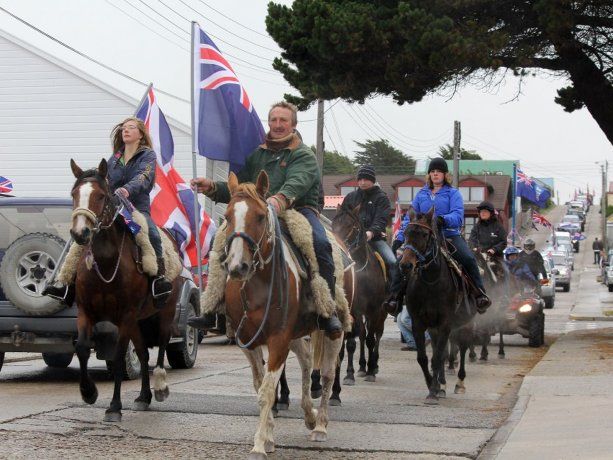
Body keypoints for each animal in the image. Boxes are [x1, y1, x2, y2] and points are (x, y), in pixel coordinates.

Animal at [69, 160, 180, 422]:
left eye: (100, 196)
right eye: (74, 194)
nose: (80, 233)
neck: (107, 262)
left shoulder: (125, 316)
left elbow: (119, 357)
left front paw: (114, 407)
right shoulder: (86, 311)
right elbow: (82, 348)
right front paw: (88, 392)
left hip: (165, 311)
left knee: (161, 344)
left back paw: (160, 388)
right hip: (138, 321)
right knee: (143, 352)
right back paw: (143, 397)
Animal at [220, 171, 346, 458]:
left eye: (260, 216)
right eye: (228, 216)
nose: (238, 267)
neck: (258, 286)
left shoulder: (278, 340)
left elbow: (267, 391)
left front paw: (259, 444)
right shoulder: (249, 342)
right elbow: (260, 385)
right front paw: (268, 437)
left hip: (335, 331)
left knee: (327, 374)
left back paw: (320, 426)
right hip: (296, 334)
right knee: (307, 360)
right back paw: (309, 415)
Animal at [400, 208, 480, 402]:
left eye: (424, 234)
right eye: (406, 233)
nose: (406, 265)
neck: (431, 281)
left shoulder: (445, 323)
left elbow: (437, 358)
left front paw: (434, 391)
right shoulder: (419, 324)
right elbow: (424, 358)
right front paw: (433, 385)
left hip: (465, 324)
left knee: (463, 348)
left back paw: (459, 383)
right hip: (435, 328)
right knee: (442, 351)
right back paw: (442, 384)